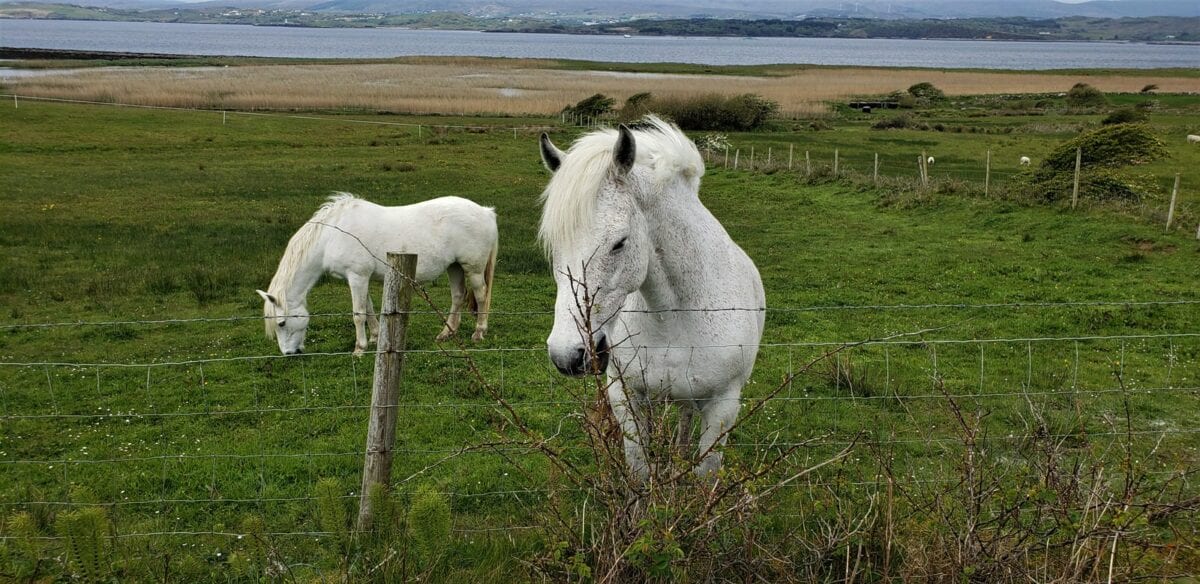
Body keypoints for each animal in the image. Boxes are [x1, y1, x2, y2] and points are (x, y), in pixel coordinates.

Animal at [258, 194, 496, 354]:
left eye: (281, 323)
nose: (289, 353)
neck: (332, 235)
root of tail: (486, 212)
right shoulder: (358, 278)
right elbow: (369, 308)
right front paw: (374, 337)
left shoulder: (357, 276)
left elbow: (358, 314)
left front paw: (359, 348)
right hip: (454, 267)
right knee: (458, 296)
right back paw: (446, 333)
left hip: (473, 268)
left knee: (481, 295)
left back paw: (479, 332)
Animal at [540, 117, 763, 479]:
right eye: (555, 242)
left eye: (619, 242)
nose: (567, 355)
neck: (674, 315)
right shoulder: (626, 396)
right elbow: (641, 472)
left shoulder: (722, 408)